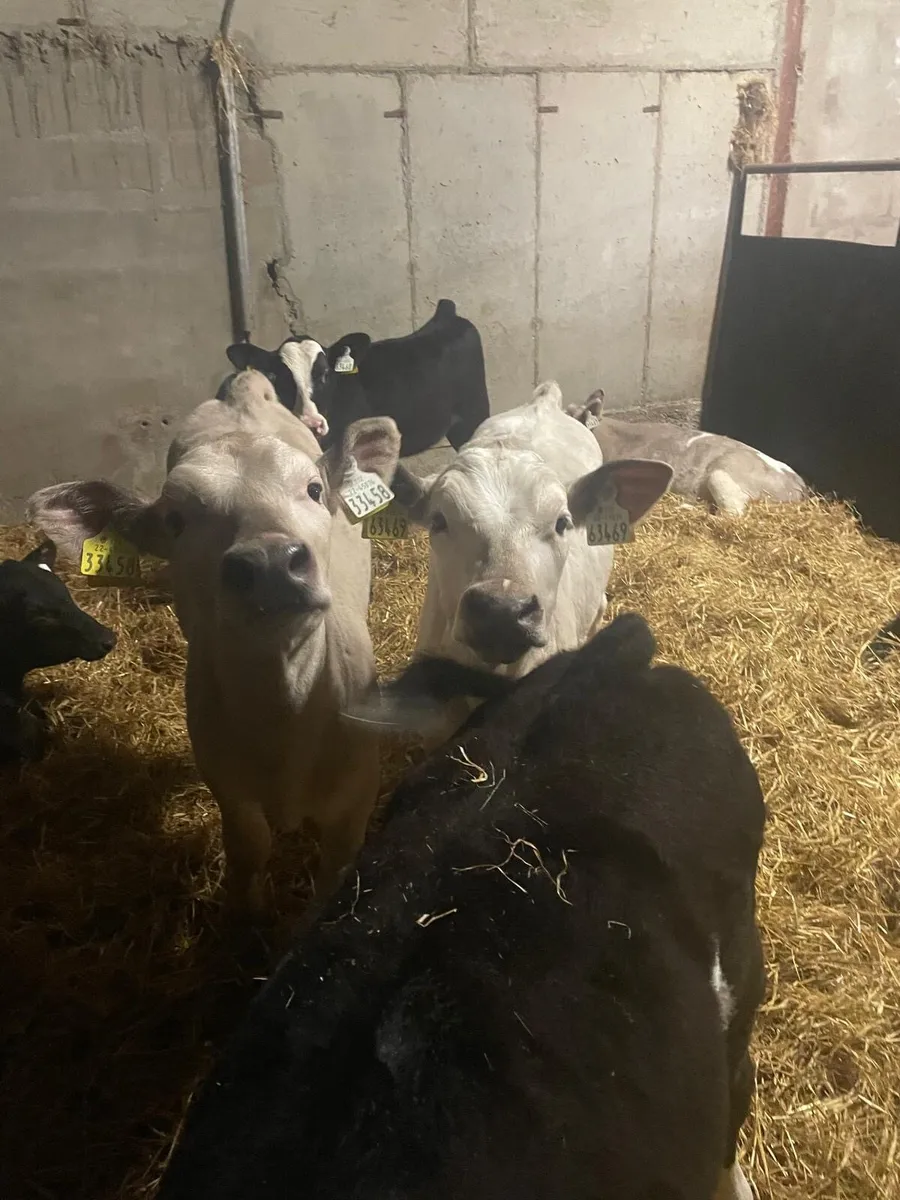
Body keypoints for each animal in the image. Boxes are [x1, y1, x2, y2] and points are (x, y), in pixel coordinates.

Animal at [28, 389, 402, 917]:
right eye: (176, 520)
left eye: (313, 490)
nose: (270, 563)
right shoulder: (227, 783)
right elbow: (250, 846)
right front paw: (249, 913)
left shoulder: (357, 793)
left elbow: (335, 873)